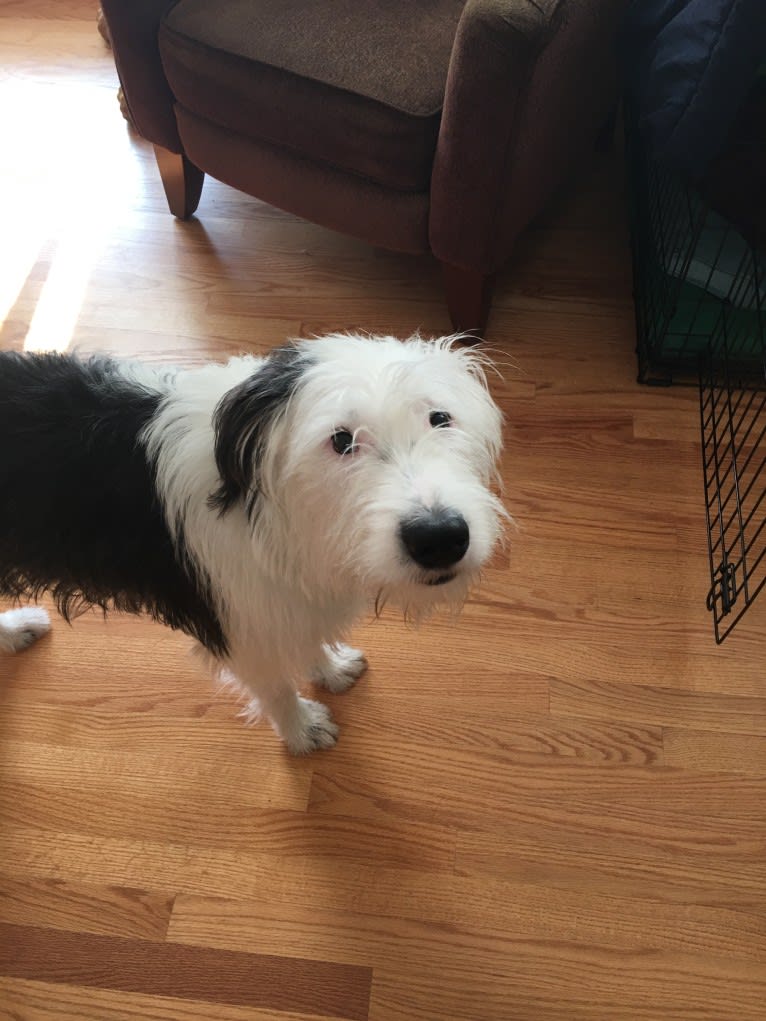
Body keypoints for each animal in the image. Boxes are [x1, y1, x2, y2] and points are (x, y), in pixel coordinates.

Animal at [0, 334, 506, 751]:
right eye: (341, 440)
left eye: (440, 418)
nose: (440, 537)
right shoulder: (238, 624)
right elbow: (275, 686)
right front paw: (301, 729)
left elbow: (307, 638)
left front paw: (329, 668)